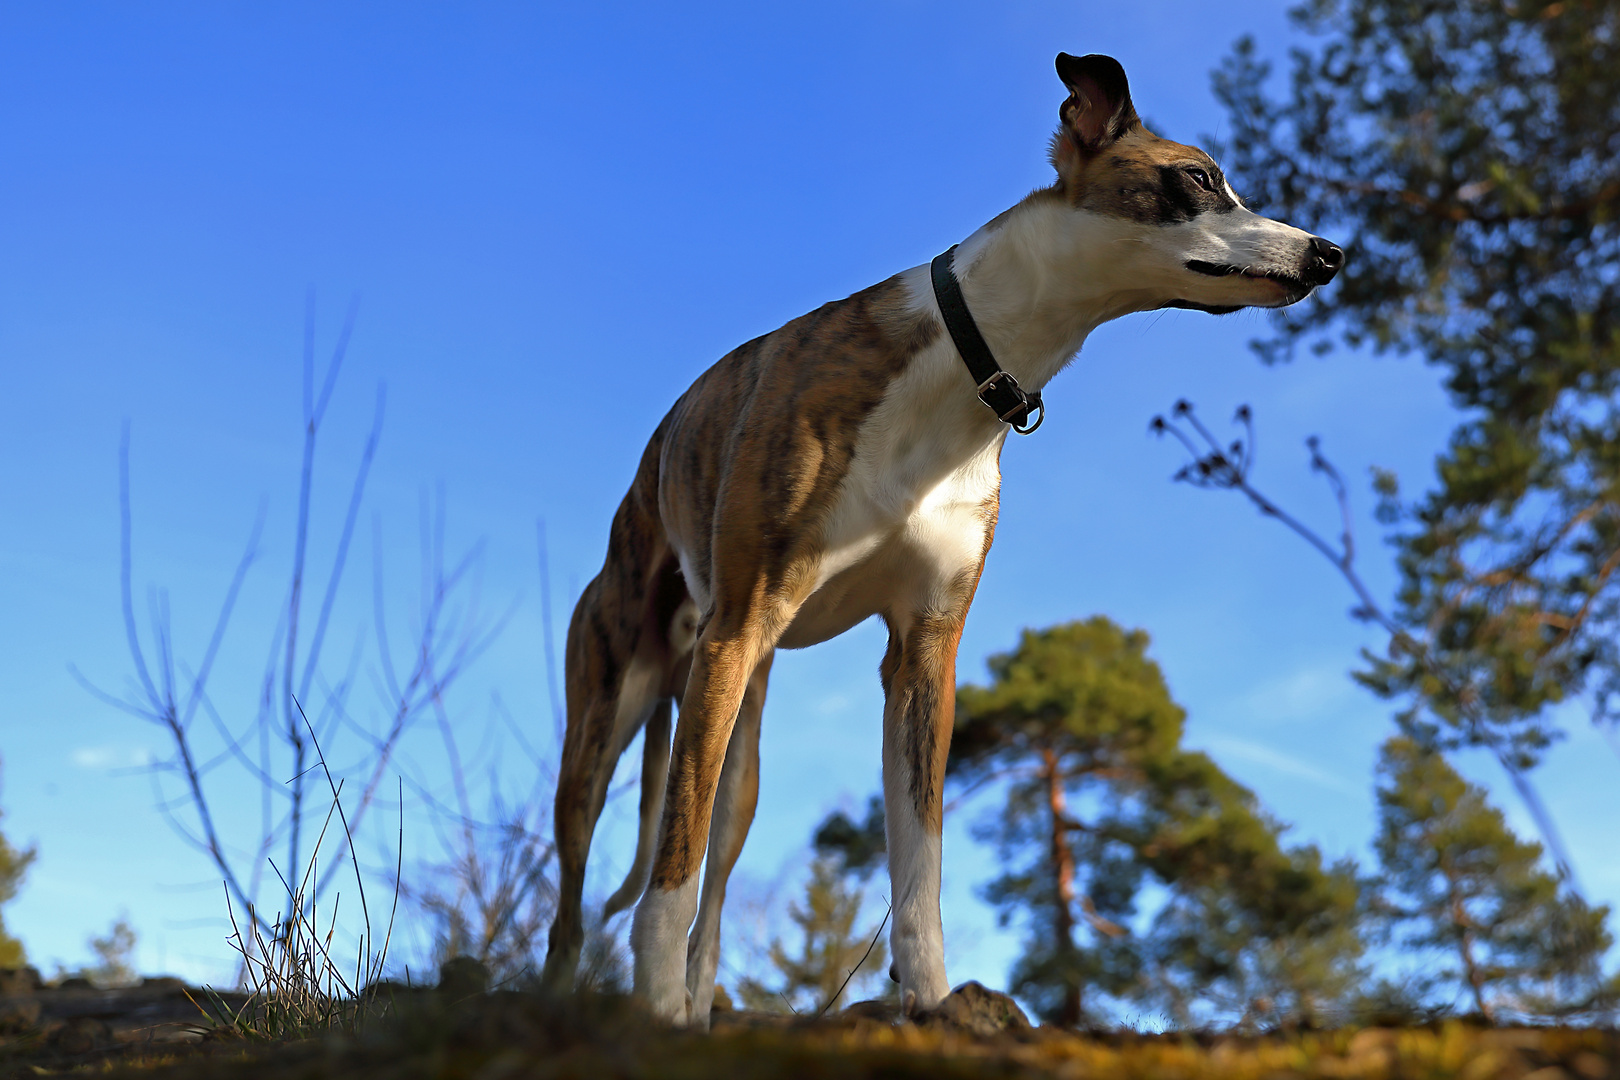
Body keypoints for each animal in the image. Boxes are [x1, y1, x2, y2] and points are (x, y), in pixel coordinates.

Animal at [541, 52, 1341, 1029]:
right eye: (1196, 178)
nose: (1329, 253)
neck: (968, 368)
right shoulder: (743, 626)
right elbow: (670, 864)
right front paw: (652, 1005)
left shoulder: (924, 653)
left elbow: (917, 856)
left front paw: (930, 998)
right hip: (624, 713)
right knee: (580, 893)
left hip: (736, 729)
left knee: (716, 870)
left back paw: (698, 1001)